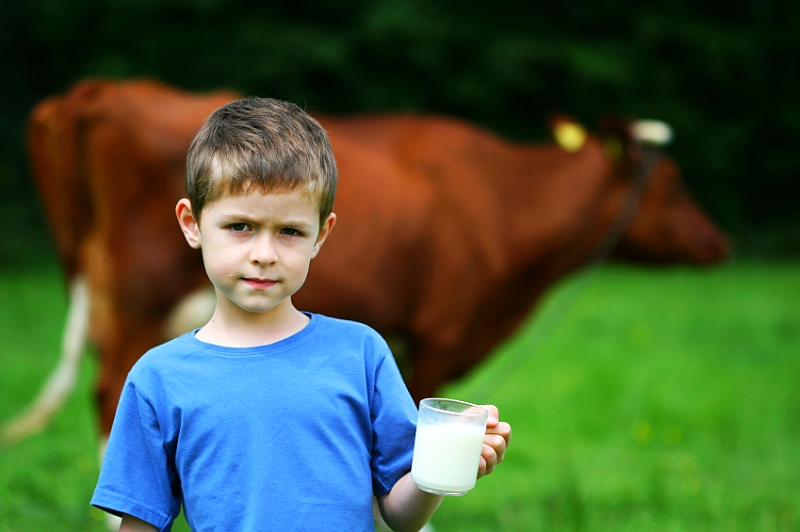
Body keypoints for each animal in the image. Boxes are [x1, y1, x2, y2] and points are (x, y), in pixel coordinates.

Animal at [3, 78, 732, 444]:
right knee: (110, 400)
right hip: (137, 297)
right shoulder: (439, 336)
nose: (717, 244)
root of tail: (100, 89)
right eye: (668, 183)